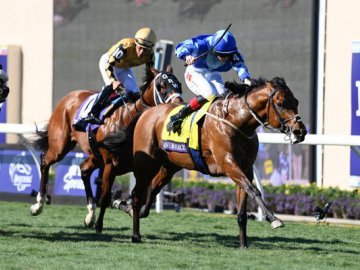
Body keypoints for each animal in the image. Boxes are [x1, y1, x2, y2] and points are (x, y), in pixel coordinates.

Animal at [30, 65, 183, 232]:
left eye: (179, 85)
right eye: (162, 86)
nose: (178, 105)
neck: (129, 121)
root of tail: (69, 97)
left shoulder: (147, 167)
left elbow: (147, 193)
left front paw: (125, 207)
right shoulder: (111, 164)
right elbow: (105, 197)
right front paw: (100, 225)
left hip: (94, 155)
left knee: (84, 169)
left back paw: (90, 215)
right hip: (60, 146)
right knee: (45, 161)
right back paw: (38, 205)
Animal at [107, 76, 306, 247]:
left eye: (296, 102)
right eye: (280, 104)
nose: (300, 131)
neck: (236, 120)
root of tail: (147, 112)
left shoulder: (245, 168)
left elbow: (243, 205)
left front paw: (244, 244)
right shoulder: (228, 163)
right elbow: (254, 190)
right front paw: (274, 219)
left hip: (169, 166)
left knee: (151, 192)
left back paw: (126, 207)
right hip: (145, 163)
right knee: (137, 194)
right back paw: (135, 234)